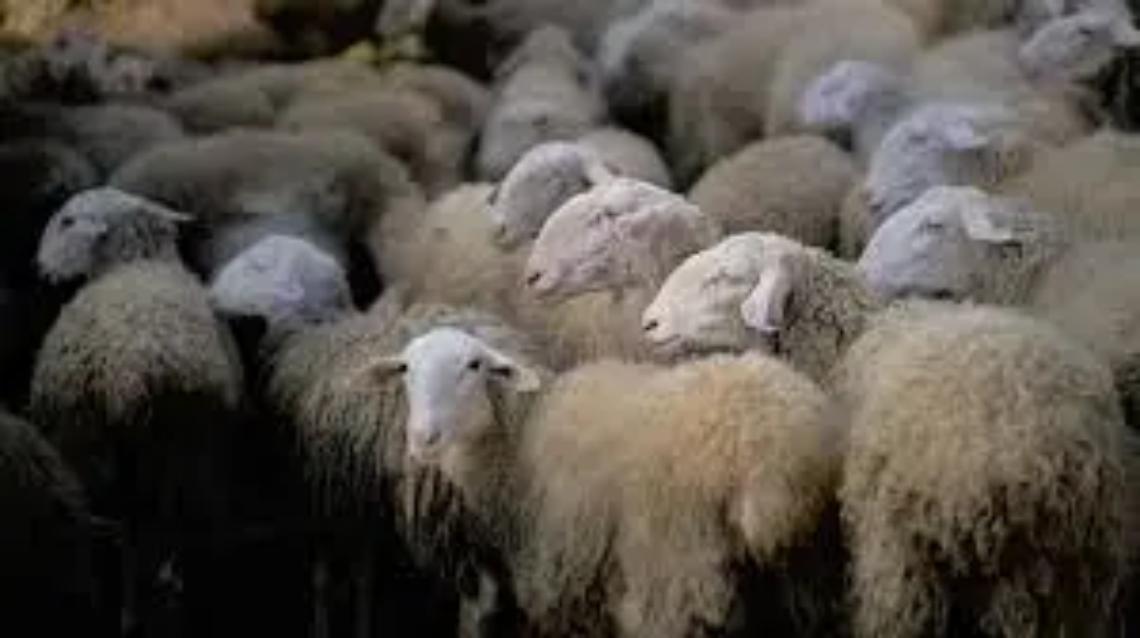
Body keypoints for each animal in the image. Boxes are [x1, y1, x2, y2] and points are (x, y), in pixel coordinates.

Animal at [364, 325, 843, 637]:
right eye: (405, 368)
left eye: (474, 364)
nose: (422, 438)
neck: (517, 439)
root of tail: (769, 448)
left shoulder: (565, 570)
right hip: (806, 573)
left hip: (676, 572)